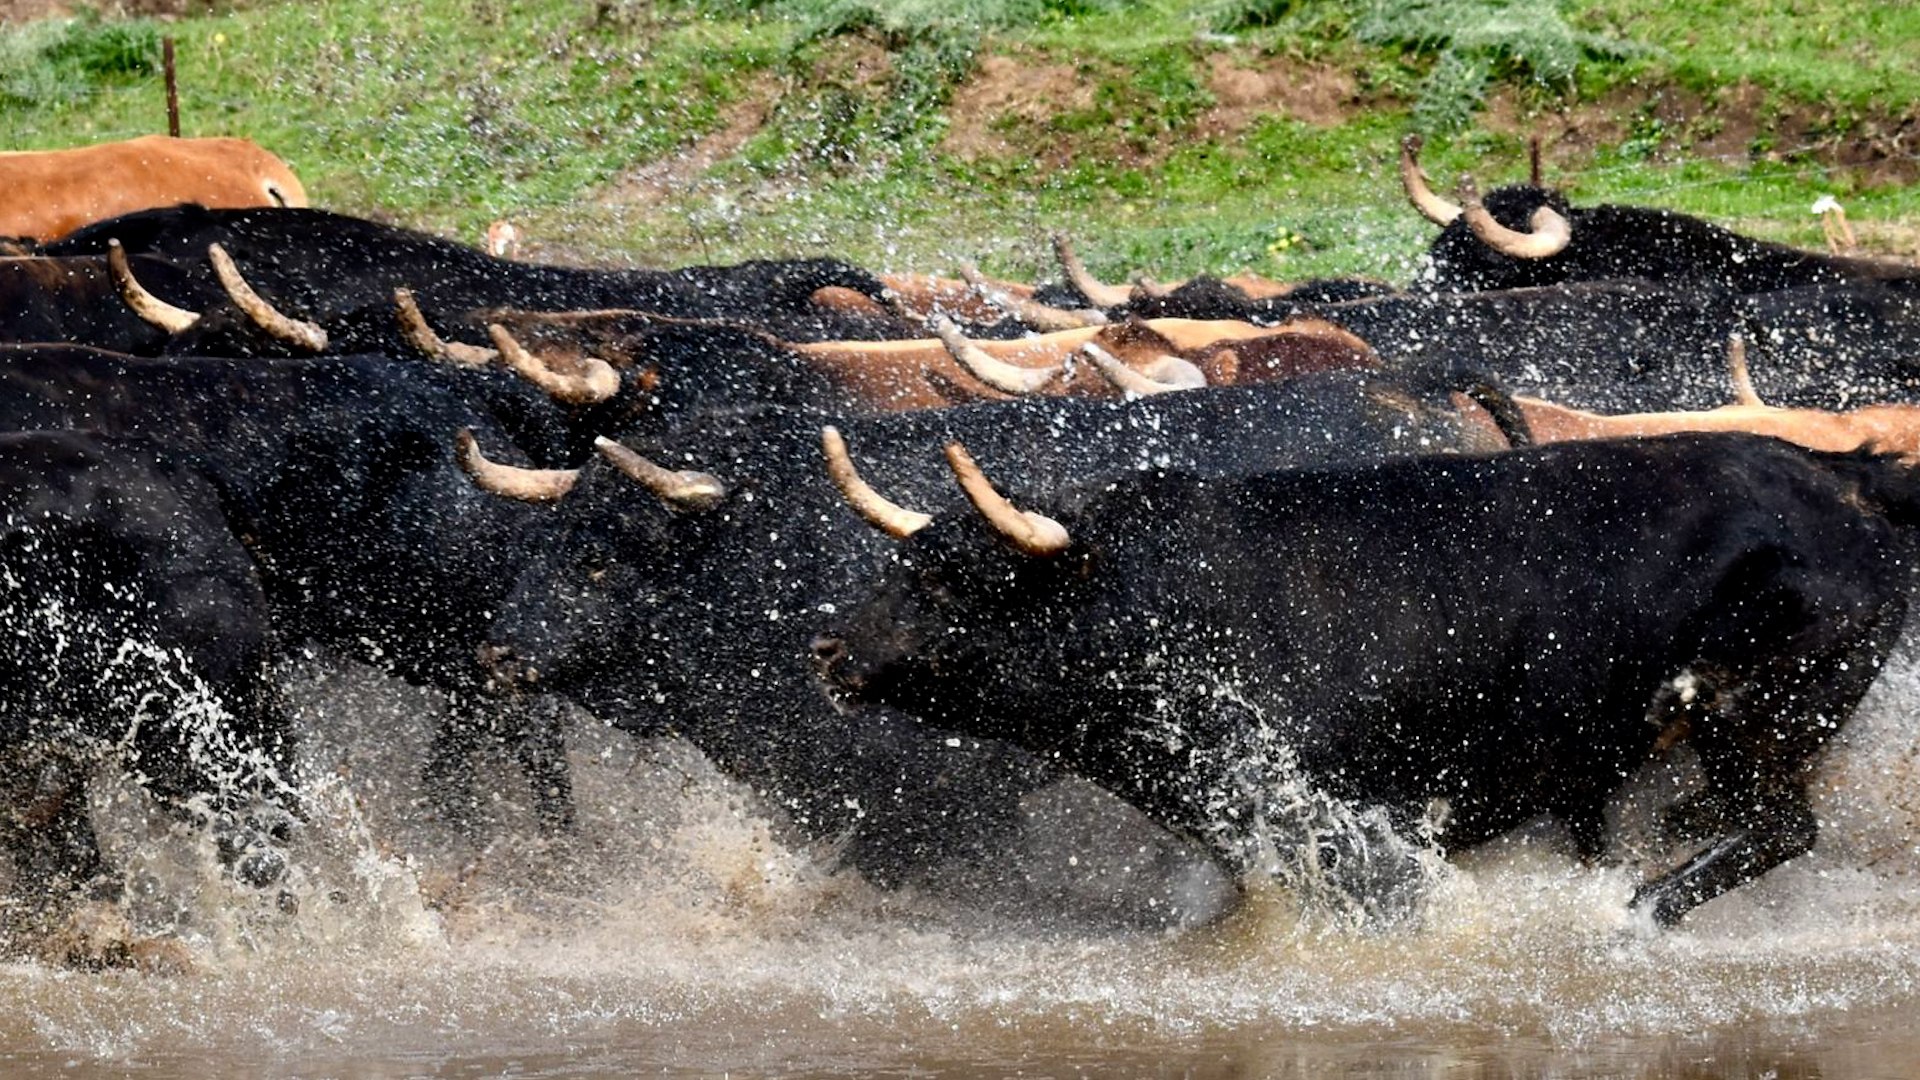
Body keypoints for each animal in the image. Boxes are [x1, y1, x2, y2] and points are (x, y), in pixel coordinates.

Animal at [813, 433, 1920, 927]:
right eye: (900, 564)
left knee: (1782, 827)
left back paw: (1640, 910)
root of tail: (1843, 475)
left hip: (1764, 716)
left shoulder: (1348, 822)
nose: (827, 652)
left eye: (954, 579)